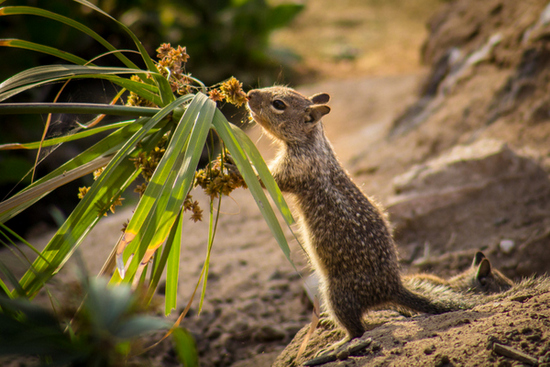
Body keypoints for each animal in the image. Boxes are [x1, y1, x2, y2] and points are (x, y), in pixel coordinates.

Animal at [248, 86, 468, 344]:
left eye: (278, 104)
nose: (249, 94)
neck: (313, 143)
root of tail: (392, 288)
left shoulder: (293, 169)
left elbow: (266, 180)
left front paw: (232, 163)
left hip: (336, 294)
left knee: (357, 330)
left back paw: (337, 344)